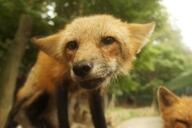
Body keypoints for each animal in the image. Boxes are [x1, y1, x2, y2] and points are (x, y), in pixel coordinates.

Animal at [5, 14, 155, 127]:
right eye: (72, 45)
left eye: (108, 40)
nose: (80, 68)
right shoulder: (60, 83)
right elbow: (63, 120)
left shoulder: (95, 93)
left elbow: (99, 120)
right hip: (31, 94)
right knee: (14, 113)